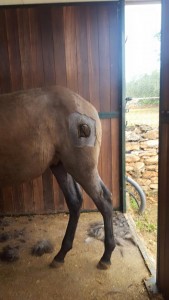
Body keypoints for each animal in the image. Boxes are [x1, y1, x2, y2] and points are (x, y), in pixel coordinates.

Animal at [0, 85, 115, 270]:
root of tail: (88, 108)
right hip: (60, 166)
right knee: (76, 201)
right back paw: (61, 255)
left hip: (81, 168)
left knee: (103, 200)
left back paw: (105, 257)